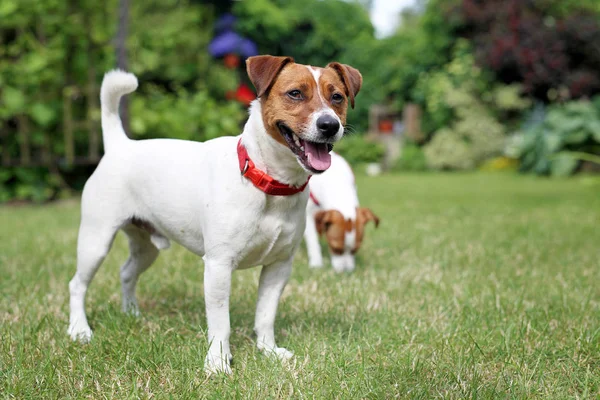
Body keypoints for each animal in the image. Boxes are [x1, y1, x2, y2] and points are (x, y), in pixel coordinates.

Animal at [68, 54, 364, 374]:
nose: (329, 125)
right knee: (77, 285)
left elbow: (265, 315)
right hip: (96, 240)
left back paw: (131, 313)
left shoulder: (279, 266)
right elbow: (221, 323)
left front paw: (268, 351)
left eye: (337, 97)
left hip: (147, 247)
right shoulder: (219, 266)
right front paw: (218, 363)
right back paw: (79, 330)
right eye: (295, 93)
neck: (266, 182)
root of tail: (119, 145)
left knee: (126, 273)